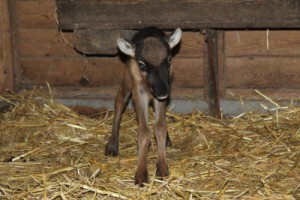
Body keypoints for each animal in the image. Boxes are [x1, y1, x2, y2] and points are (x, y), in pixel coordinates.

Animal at [104, 26, 182, 186]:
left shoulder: (161, 97)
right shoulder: (138, 93)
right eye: (142, 65)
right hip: (127, 80)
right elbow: (144, 132)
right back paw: (112, 146)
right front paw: (141, 174)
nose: (162, 90)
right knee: (119, 101)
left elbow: (160, 127)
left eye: (168, 60)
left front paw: (162, 169)